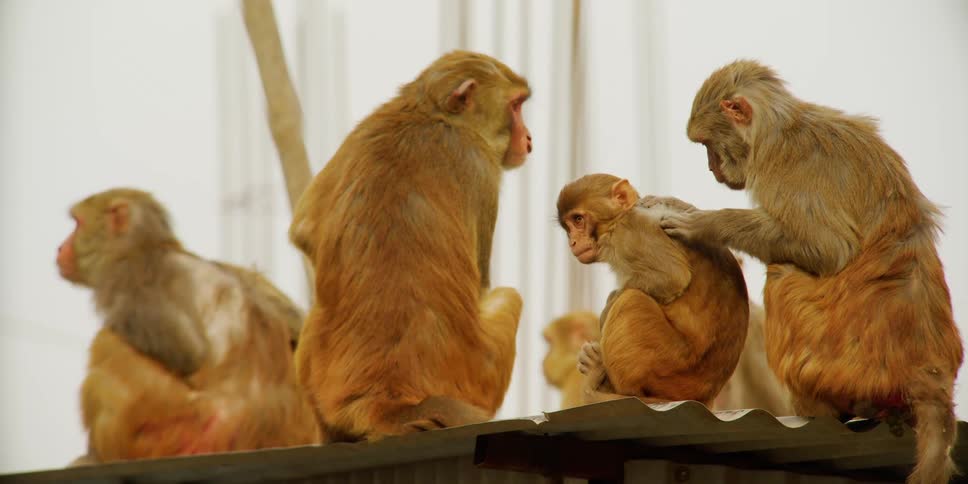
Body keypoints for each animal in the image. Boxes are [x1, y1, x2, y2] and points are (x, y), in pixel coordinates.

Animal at [57, 188, 319, 464]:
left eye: (76, 224)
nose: (60, 247)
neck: (152, 247)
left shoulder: (131, 279)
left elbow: (187, 353)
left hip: (178, 423)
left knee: (106, 347)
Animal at [288, 51, 530, 441]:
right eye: (516, 105)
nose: (528, 138)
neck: (431, 114)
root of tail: (386, 397)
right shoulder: (478, 164)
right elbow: (483, 286)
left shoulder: (367, 125)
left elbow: (304, 230)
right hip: (481, 373)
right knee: (510, 297)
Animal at [557, 174, 749, 407]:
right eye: (568, 226)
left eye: (578, 219)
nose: (572, 242)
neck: (619, 219)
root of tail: (706, 395)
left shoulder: (632, 231)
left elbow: (672, 277)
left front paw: (605, 311)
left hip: (670, 367)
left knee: (631, 299)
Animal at [659, 59, 963, 484]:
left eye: (706, 145)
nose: (711, 168)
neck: (779, 127)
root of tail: (928, 371)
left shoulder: (785, 167)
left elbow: (827, 248)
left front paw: (705, 225)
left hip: (831, 364)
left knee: (782, 273)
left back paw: (816, 407)